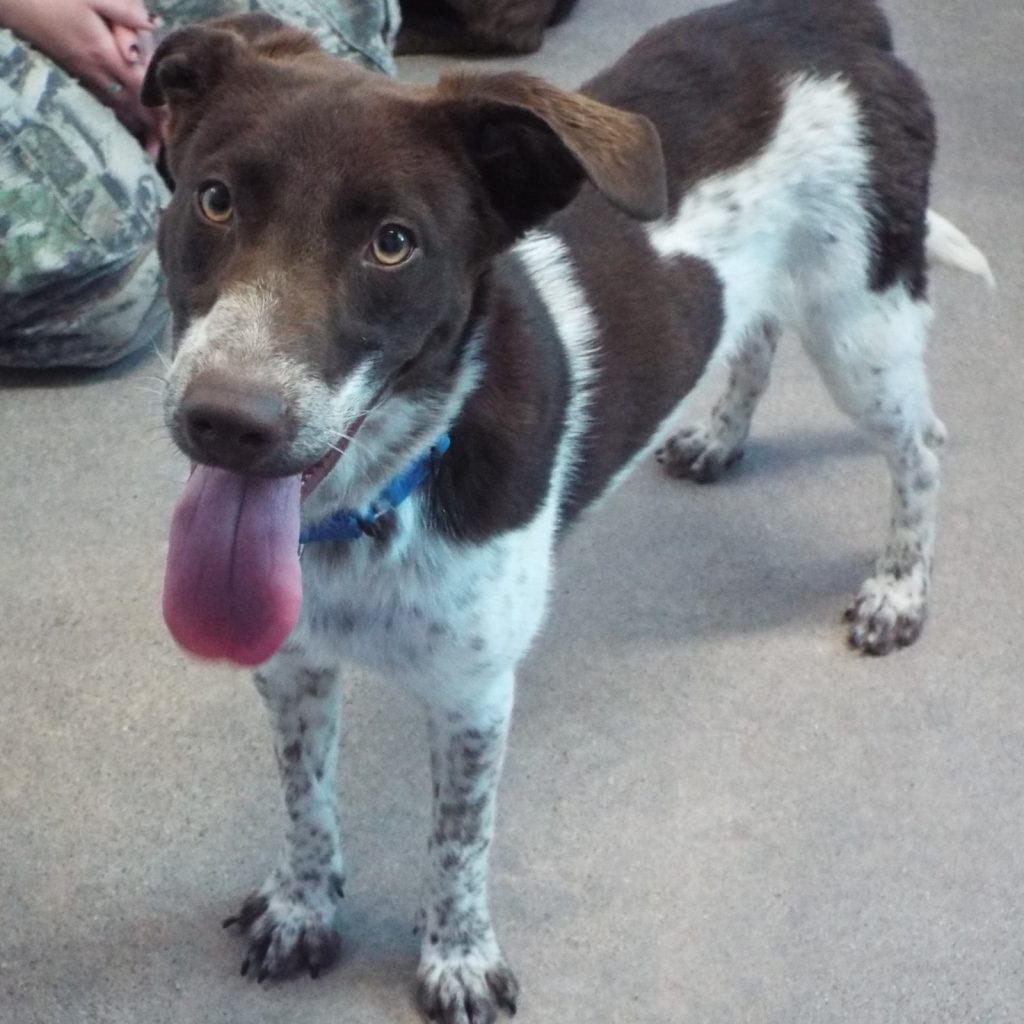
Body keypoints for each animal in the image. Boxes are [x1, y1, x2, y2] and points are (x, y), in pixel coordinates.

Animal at [143, 1, 991, 1020]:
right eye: (215, 200)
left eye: (393, 243)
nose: (226, 422)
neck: (379, 504)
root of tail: (837, 20)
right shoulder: (292, 665)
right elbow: (305, 798)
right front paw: (304, 907)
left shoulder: (473, 693)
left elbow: (458, 842)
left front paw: (458, 958)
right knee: (752, 335)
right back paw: (720, 437)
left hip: (862, 323)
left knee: (921, 447)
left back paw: (899, 589)